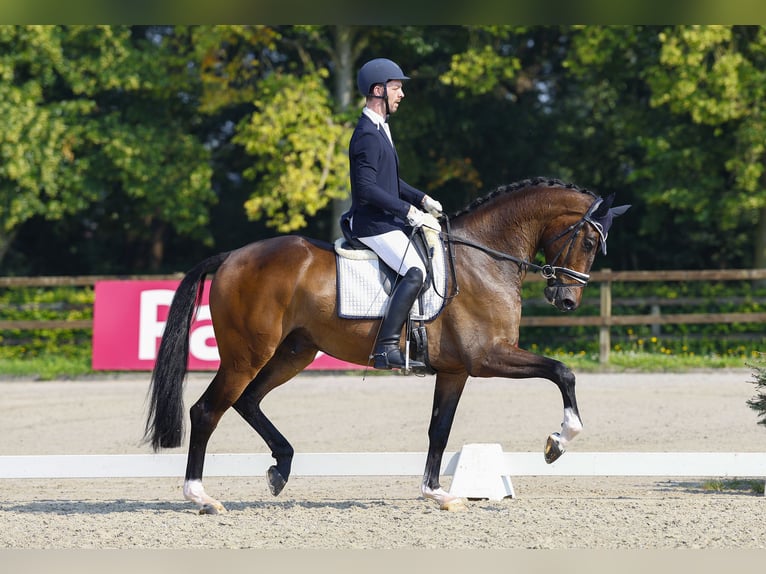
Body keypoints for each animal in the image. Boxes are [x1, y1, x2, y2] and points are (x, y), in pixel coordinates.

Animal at [142, 178, 632, 516]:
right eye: (590, 241)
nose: (566, 301)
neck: (485, 258)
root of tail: (231, 257)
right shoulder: (487, 356)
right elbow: (562, 371)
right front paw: (558, 442)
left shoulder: (455, 370)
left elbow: (439, 430)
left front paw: (438, 493)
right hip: (246, 355)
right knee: (208, 410)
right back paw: (202, 497)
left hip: (293, 353)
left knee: (248, 402)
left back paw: (281, 468)